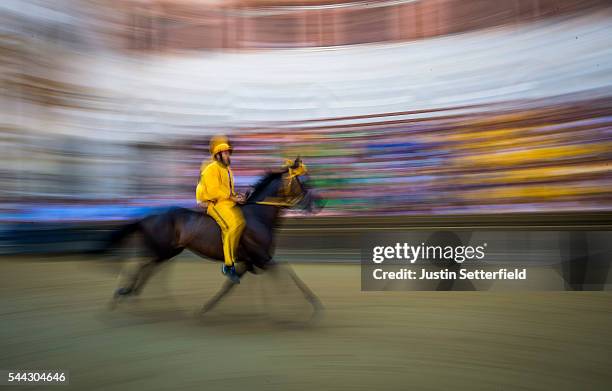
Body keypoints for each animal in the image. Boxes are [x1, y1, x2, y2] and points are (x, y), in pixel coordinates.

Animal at [105, 158, 326, 316]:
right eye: (304, 181)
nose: (320, 204)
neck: (258, 216)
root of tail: (146, 216)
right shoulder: (262, 259)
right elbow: (288, 272)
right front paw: (311, 306)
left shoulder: (249, 262)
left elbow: (228, 286)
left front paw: (206, 307)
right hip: (163, 250)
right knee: (141, 266)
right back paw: (123, 293)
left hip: (169, 251)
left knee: (149, 269)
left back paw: (136, 296)